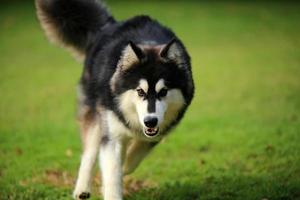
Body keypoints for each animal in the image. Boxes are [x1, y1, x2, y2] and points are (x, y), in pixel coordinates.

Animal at [35, 0, 195, 199]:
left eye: (164, 91)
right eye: (140, 91)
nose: (150, 121)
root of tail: (109, 25)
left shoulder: (159, 130)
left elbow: (136, 152)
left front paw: (125, 164)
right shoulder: (111, 132)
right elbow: (112, 171)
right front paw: (111, 184)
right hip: (96, 115)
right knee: (89, 153)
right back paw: (82, 189)